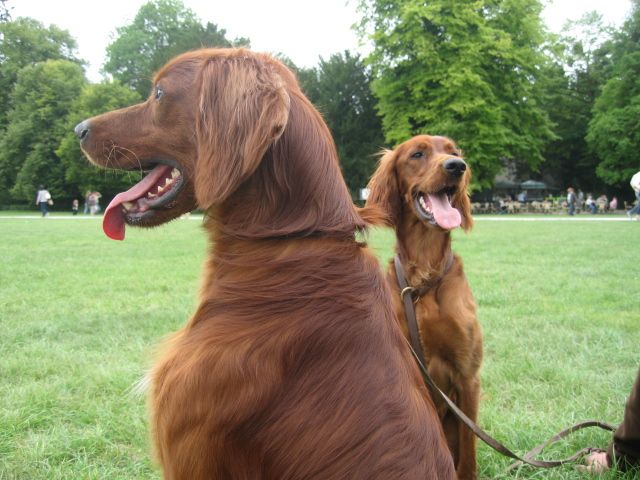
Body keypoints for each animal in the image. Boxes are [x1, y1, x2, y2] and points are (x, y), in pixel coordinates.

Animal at [364, 135, 480, 480]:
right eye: (417, 154)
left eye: (454, 152)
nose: (457, 166)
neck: (423, 281)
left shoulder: (468, 375)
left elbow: (468, 452)